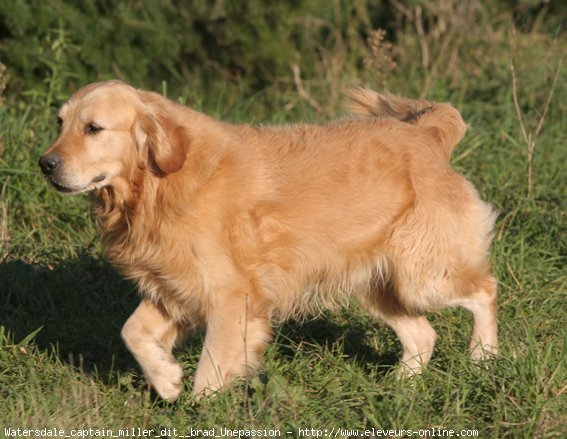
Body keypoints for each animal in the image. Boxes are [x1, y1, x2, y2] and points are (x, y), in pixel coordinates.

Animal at [40, 80, 500, 402]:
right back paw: (398, 387)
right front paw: (167, 380)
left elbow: (209, 373)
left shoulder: (231, 297)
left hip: (422, 274)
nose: (45, 163)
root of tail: (426, 134)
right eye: (60, 123)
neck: (158, 183)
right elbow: (132, 332)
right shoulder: (175, 288)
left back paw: (484, 358)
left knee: (484, 290)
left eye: (93, 128)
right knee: (423, 335)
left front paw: (202, 409)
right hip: (375, 282)